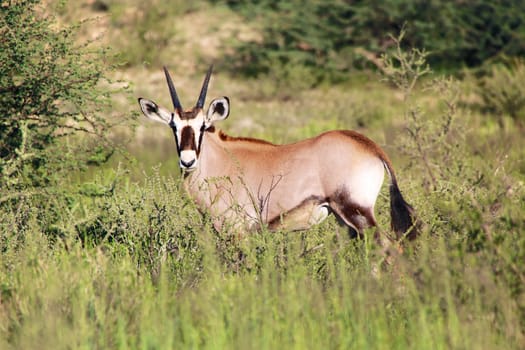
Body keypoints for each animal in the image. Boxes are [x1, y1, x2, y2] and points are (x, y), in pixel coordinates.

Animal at [139, 65, 418, 241]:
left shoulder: (237, 232)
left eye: (202, 126)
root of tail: (371, 146)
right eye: (174, 126)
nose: (188, 161)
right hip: (346, 218)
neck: (222, 162)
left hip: (356, 211)